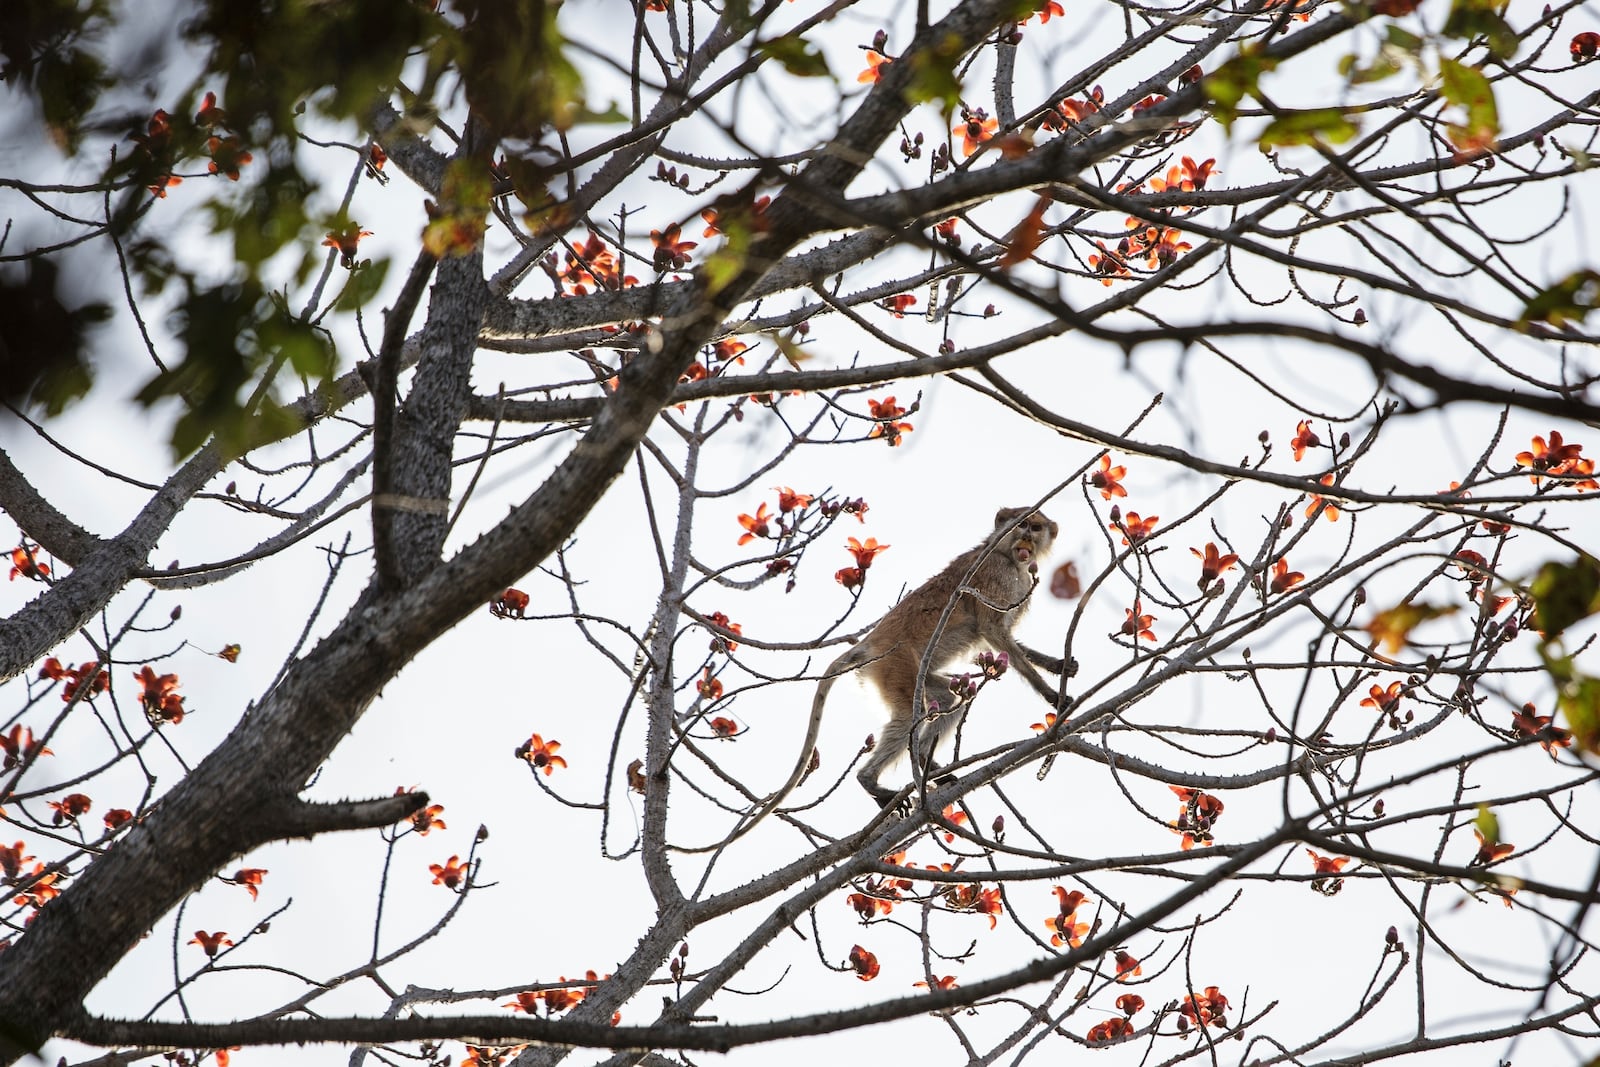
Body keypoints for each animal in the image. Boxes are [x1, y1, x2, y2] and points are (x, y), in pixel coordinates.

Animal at [675, 505, 1062, 857]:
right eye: (1022, 524)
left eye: (1036, 527)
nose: (1027, 540)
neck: (1006, 555)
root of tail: (870, 644)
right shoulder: (997, 576)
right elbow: (993, 632)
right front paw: (1051, 694)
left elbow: (997, 642)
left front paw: (1059, 666)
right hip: (895, 666)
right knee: (910, 714)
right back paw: (873, 781)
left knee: (948, 700)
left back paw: (927, 765)